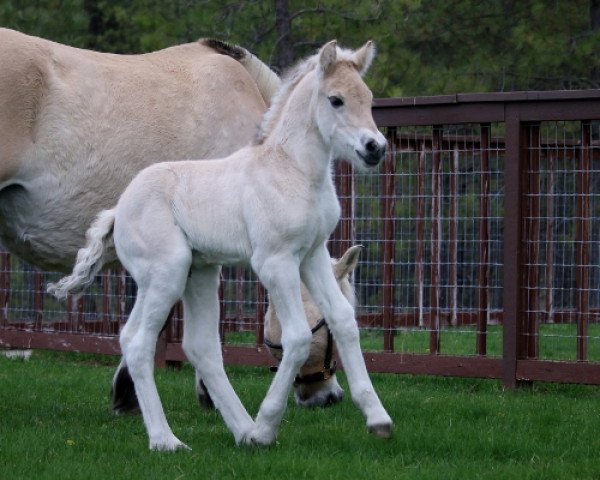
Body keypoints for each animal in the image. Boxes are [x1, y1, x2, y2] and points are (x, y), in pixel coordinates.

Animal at [49, 40, 392, 450]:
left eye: (368, 98)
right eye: (336, 99)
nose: (375, 148)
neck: (291, 170)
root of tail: (119, 208)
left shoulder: (312, 255)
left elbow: (343, 319)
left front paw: (378, 419)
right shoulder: (275, 262)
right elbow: (295, 337)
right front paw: (267, 426)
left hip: (199, 272)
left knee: (199, 346)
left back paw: (242, 430)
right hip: (166, 272)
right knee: (138, 341)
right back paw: (169, 440)